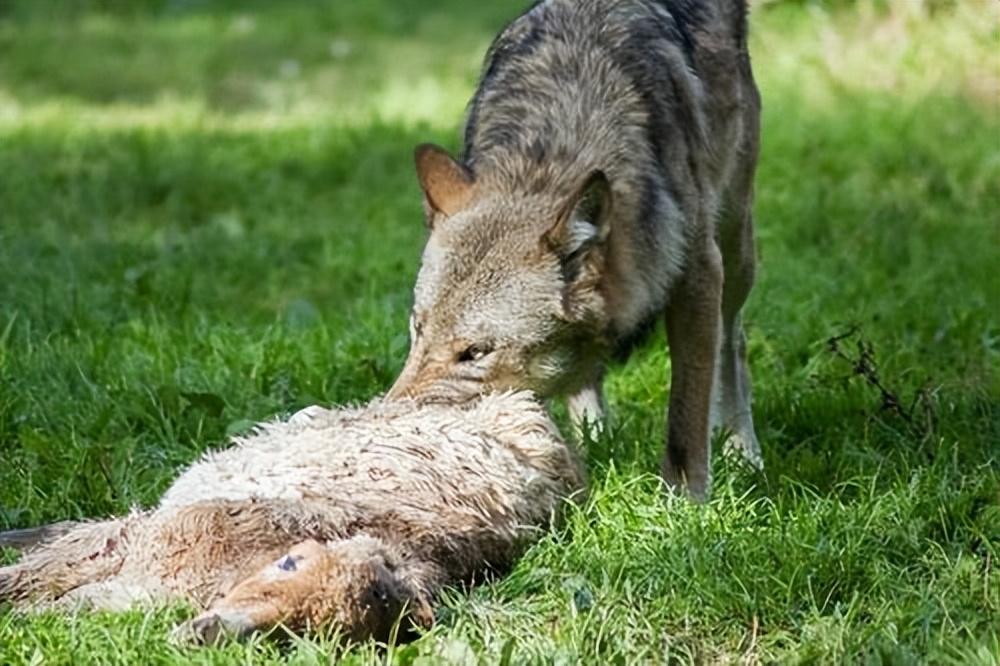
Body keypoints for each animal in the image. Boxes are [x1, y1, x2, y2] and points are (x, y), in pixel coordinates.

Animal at [386, 0, 760, 498]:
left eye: (476, 352)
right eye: (418, 328)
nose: (386, 424)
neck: (547, 155)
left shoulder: (697, 276)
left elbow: (686, 419)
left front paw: (686, 505)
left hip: (735, 248)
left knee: (732, 343)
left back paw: (744, 454)